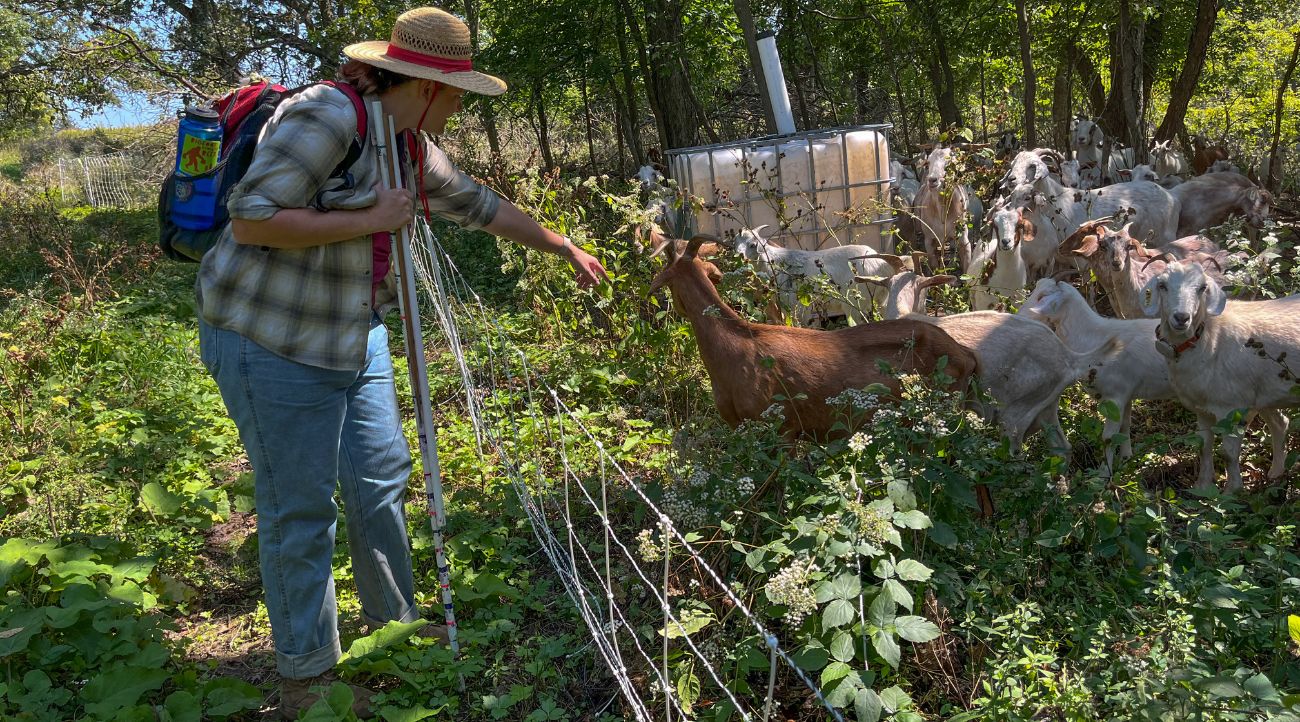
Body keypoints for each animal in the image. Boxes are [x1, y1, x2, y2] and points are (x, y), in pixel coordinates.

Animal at [1138, 261, 1300, 491]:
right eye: (1162, 285)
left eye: (1202, 288)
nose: (1181, 317)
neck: (1209, 338)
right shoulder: (1202, 409)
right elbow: (1204, 446)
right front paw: (1202, 487)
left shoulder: (1234, 407)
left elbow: (1228, 453)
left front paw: (1232, 491)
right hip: (1266, 394)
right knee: (1280, 424)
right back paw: (1276, 474)